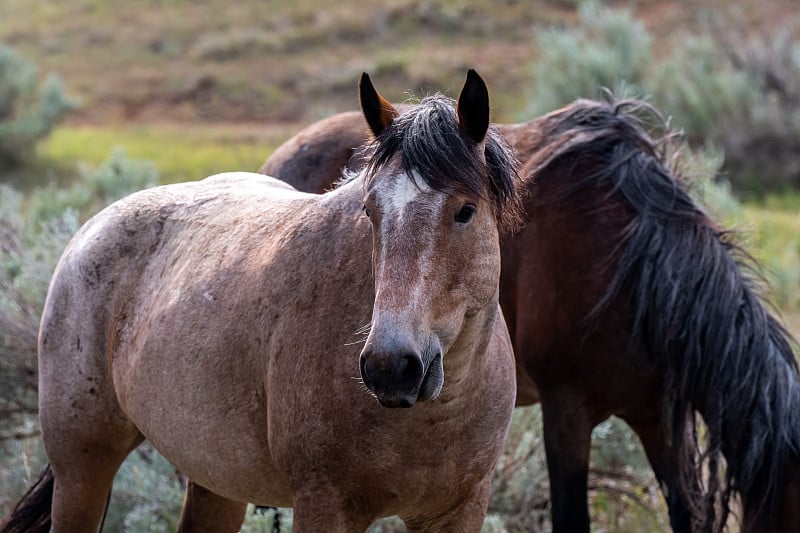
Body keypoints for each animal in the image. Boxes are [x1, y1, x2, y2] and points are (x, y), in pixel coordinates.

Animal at [1, 70, 524, 532]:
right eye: (370, 211)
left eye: (465, 211)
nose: (390, 367)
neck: (436, 415)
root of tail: (89, 229)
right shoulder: (325, 505)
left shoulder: (458, 510)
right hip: (82, 470)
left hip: (215, 480)